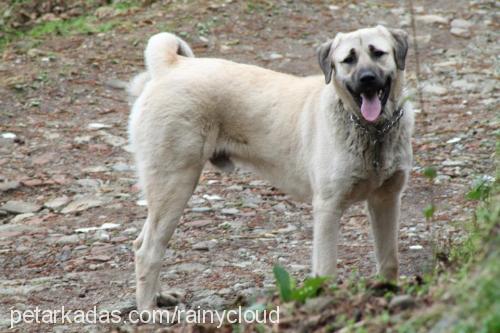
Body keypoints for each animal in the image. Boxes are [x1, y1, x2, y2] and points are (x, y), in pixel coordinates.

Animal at [127, 24, 412, 312]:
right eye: (348, 59)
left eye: (378, 53)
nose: (367, 79)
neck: (372, 130)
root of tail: (171, 66)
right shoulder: (328, 208)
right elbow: (326, 269)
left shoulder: (386, 200)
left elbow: (389, 260)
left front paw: (389, 293)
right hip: (175, 185)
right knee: (149, 250)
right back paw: (148, 309)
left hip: (167, 191)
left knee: (142, 243)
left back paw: (158, 296)